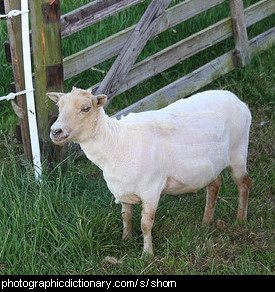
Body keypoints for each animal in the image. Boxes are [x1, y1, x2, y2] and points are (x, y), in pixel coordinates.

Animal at [48, 88, 252, 256]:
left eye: (85, 108)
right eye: (59, 107)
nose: (55, 131)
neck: (115, 143)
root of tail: (236, 98)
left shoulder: (151, 190)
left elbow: (146, 224)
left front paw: (147, 254)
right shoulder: (123, 190)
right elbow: (126, 216)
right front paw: (126, 239)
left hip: (238, 151)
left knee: (244, 183)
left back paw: (241, 220)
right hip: (211, 164)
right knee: (215, 185)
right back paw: (206, 222)